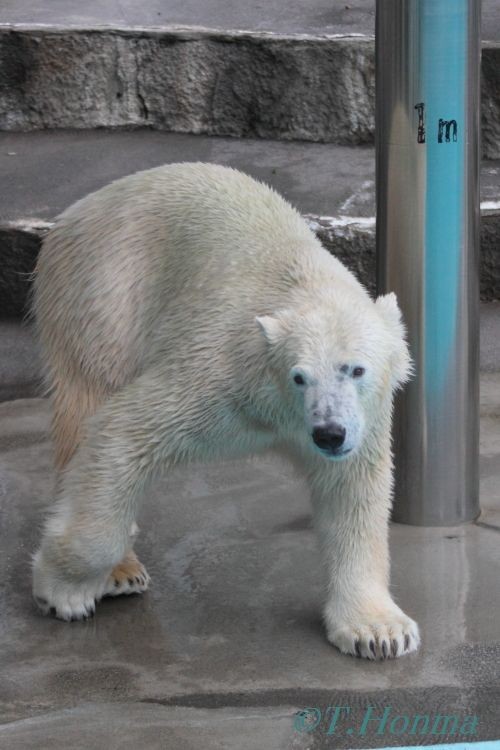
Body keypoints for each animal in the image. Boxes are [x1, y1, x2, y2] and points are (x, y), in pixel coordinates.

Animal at [33, 163, 420, 656]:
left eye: (355, 369)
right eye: (300, 376)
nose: (328, 434)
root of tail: (80, 207)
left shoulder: (363, 423)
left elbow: (352, 494)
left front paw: (379, 631)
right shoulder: (217, 371)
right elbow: (121, 431)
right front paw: (64, 593)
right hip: (102, 294)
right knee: (85, 402)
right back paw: (122, 571)